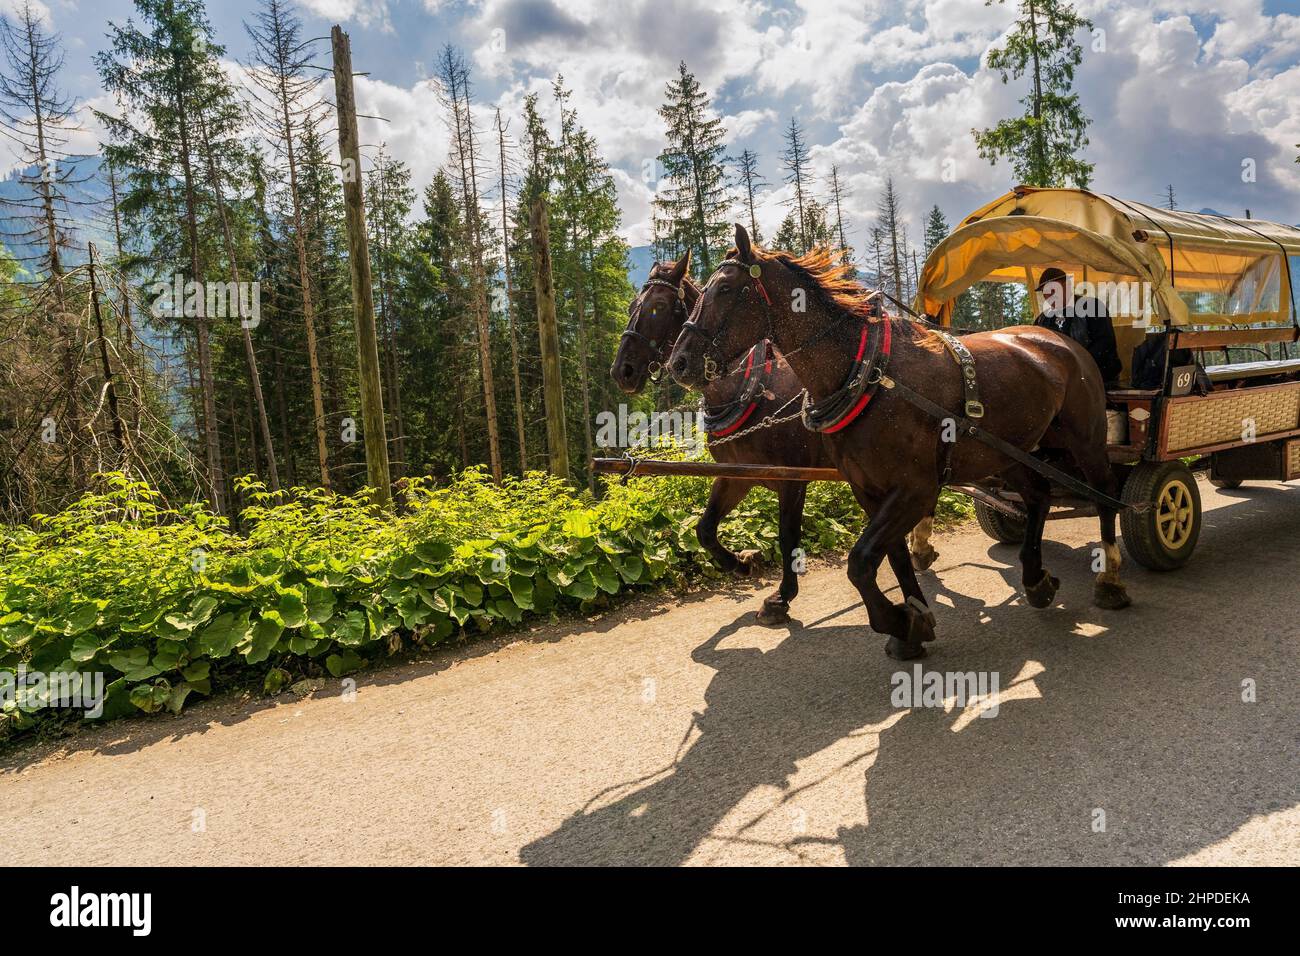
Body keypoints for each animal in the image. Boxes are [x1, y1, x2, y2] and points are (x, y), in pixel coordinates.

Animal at [670, 223, 1128, 658]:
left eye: (725, 289)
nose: (679, 363)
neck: (868, 372)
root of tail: (1059, 340)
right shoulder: (868, 490)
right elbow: (892, 557)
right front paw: (914, 620)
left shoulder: (913, 489)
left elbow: (859, 562)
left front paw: (895, 620)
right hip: (1009, 452)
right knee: (1038, 496)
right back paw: (1035, 579)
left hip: (1086, 439)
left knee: (1106, 494)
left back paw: (1110, 578)